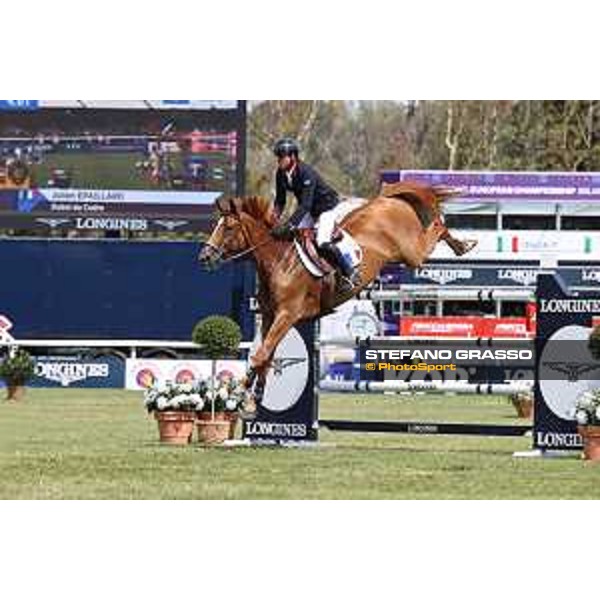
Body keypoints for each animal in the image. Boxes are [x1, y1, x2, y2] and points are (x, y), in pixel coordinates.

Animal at [199, 182, 476, 412]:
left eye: (229, 228)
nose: (204, 257)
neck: (279, 261)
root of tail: (385, 200)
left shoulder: (287, 315)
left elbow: (260, 355)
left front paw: (242, 395)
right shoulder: (269, 316)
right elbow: (264, 355)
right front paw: (251, 398)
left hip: (412, 253)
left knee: (436, 229)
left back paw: (464, 244)